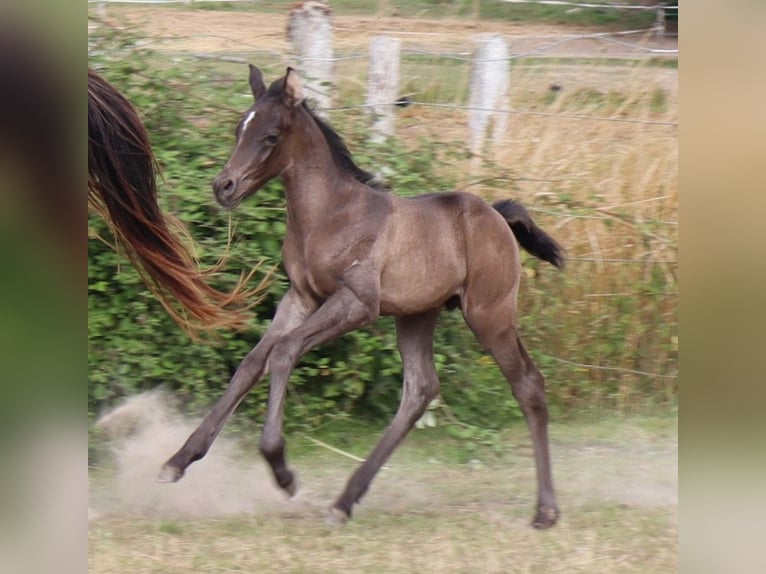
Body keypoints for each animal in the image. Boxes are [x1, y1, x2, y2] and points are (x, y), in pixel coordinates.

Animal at [160, 65, 564, 528]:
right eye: (239, 129)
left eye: (271, 136)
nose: (223, 187)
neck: (328, 214)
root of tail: (497, 215)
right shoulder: (301, 297)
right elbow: (251, 364)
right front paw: (177, 460)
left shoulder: (357, 302)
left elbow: (283, 351)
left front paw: (281, 470)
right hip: (416, 315)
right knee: (420, 389)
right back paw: (344, 501)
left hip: (488, 313)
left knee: (527, 384)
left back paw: (546, 510)